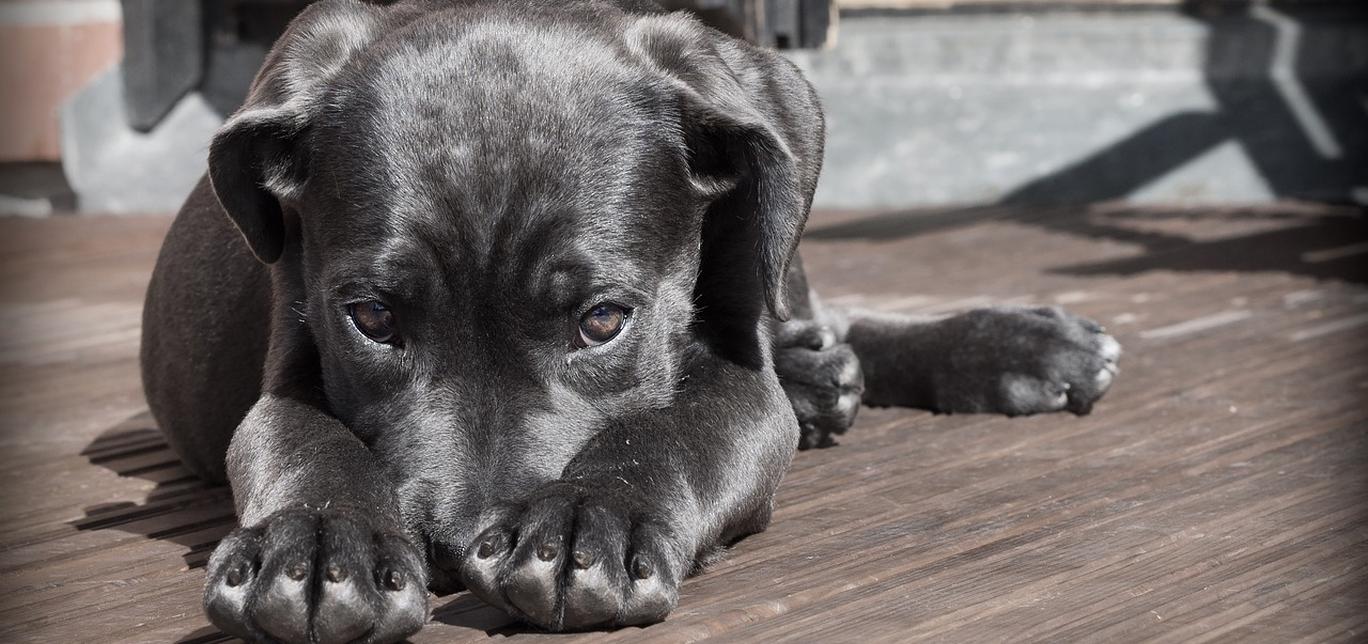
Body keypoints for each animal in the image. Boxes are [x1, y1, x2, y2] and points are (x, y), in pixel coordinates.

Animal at [138, 0, 1121, 639]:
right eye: (372, 316)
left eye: (604, 320)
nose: (454, 547)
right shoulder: (290, 357)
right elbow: (301, 440)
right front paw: (316, 542)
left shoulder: (735, 373)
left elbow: (676, 429)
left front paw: (588, 520)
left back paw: (1014, 345)